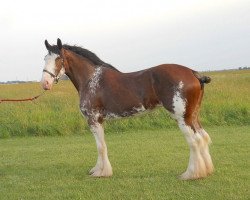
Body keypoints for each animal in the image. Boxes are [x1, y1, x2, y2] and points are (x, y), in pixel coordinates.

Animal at [40, 38, 213, 180]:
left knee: (194, 141)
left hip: (182, 118)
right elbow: (101, 145)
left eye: (59, 59)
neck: (91, 79)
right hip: (193, 116)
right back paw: (206, 170)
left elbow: (100, 146)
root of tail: (193, 73)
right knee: (203, 137)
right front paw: (98, 169)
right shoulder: (99, 120)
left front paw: (101, 172)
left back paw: (190, 174)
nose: (45, 83)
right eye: (44, 58)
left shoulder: (93, 120)